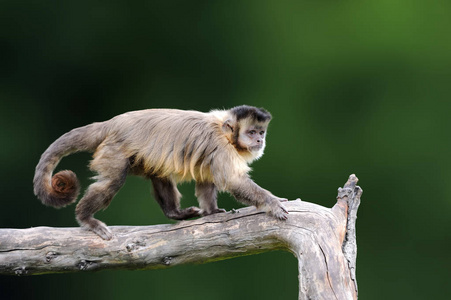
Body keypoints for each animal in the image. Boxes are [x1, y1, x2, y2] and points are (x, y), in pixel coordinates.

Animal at [34, 104, 290, 240]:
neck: (225, 131)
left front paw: (212, 212)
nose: (259, 140)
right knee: (112, 181)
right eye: (251, 133)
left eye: (261, 132)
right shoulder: (221, 146)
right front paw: (273, 203)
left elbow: (206, 180)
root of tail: (111, 123)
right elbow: (234, 181)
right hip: (114, 149)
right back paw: (86, 218)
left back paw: (174, 213)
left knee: (159, 173)